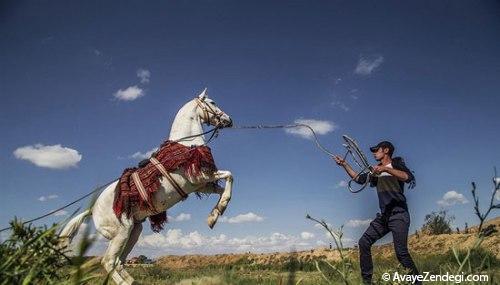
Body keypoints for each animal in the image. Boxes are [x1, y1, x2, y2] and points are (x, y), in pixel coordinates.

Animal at [60, 87, 234, 282]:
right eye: (212, 102)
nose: (229, 120)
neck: (186, 144)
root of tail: (92, 210)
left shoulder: (201, 184)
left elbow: (223, 187)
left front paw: (214, 215)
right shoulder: (200, 177)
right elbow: (229, 175)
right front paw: (218, 212)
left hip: (134, 230)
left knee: (119, 262)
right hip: (121, 232)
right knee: (108, 262)